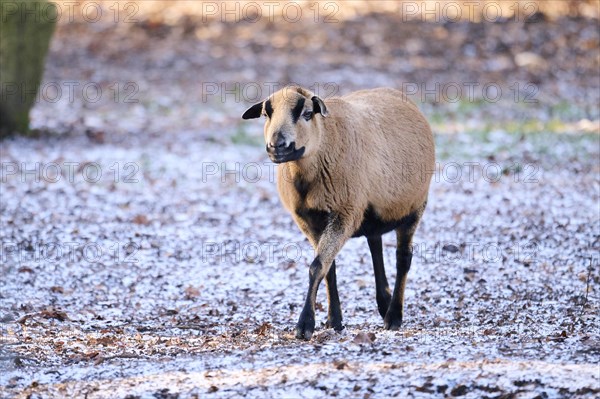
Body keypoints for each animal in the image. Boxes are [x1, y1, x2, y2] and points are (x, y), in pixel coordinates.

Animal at [241, 85, 434, 340]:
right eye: (266, 114)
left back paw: (393, 316)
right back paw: (384, 303)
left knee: (403, 259)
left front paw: (305, 325)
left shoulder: (344, 213)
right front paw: (334, 319)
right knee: (375, 246)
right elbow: (327, 267)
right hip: (368, 211)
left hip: (414, 207)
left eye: (307, 113)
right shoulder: (308, 221)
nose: (277, 146)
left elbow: (316, 267)